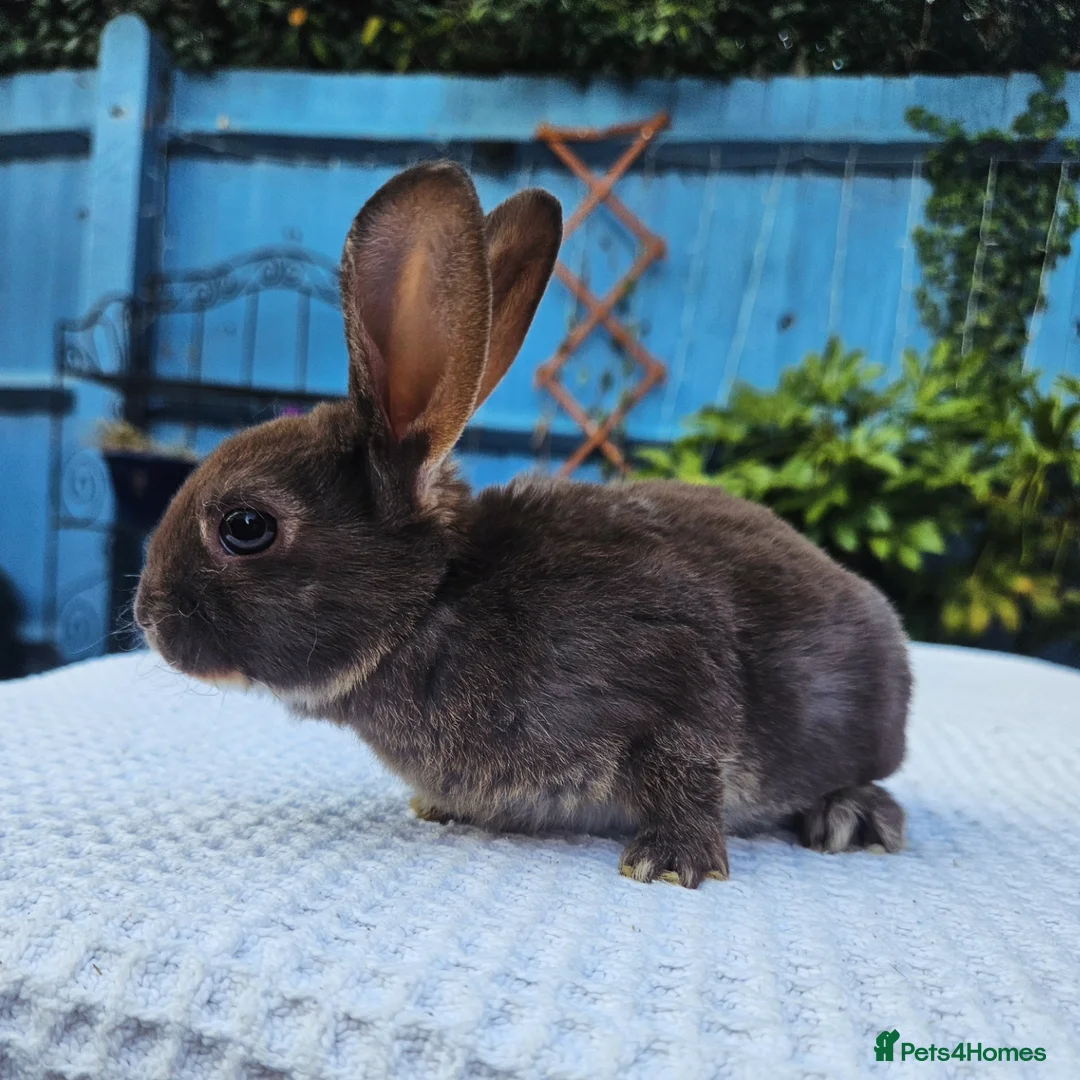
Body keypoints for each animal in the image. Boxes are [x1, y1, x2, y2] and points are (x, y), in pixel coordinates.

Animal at [134, 160, 911, 888]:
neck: (432, 607)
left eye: (244, 526)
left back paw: (854, 817)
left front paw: (670, 862)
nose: (146, 617)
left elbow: (685, 764)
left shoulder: (672, 667)